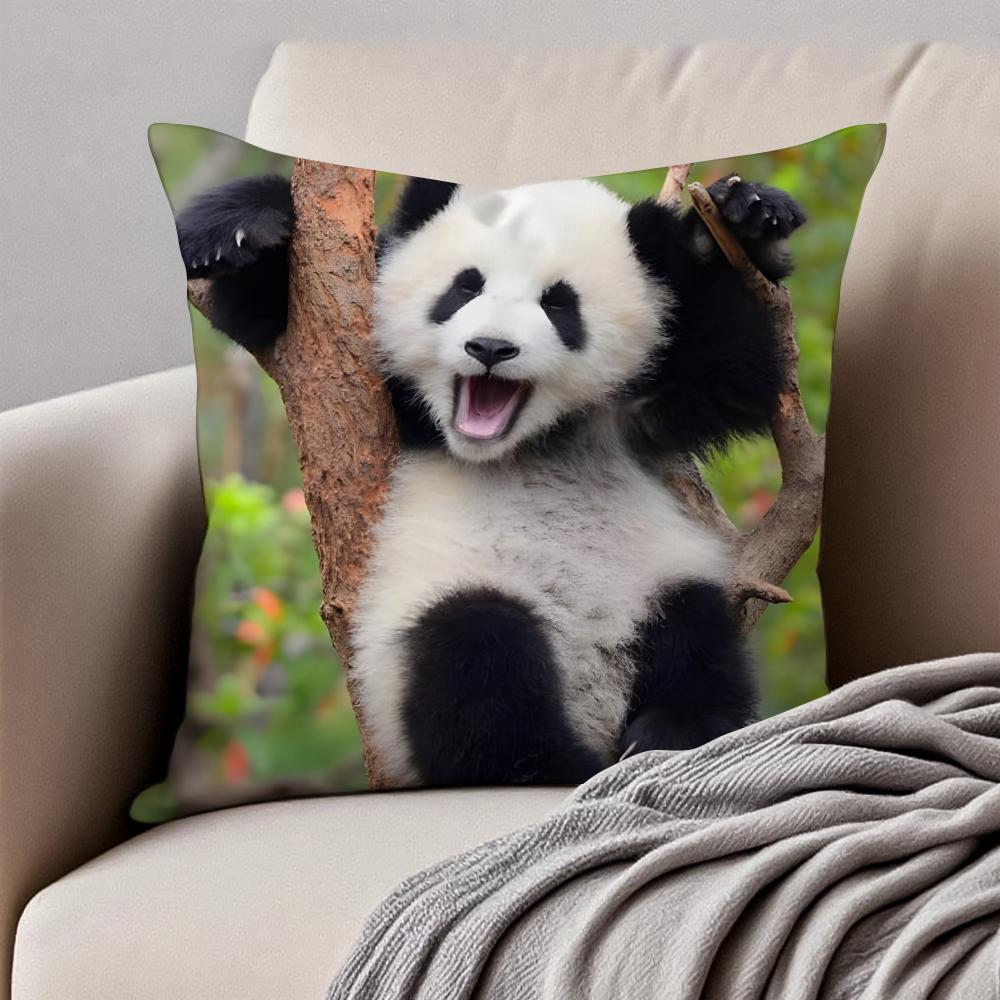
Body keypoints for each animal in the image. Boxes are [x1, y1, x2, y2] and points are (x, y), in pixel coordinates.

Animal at [178, 170, 806, 788]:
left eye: (559, 304)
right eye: (465, 287)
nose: (490, 348)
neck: (522, 445)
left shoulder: (643, 408)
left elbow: (736, 370)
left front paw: (742, 218)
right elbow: (276, 316)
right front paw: (239, 229)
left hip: (654, 585)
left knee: (696, 641)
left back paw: (668, 731)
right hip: (430, 621)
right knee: (476, 664)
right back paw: (549, 765)